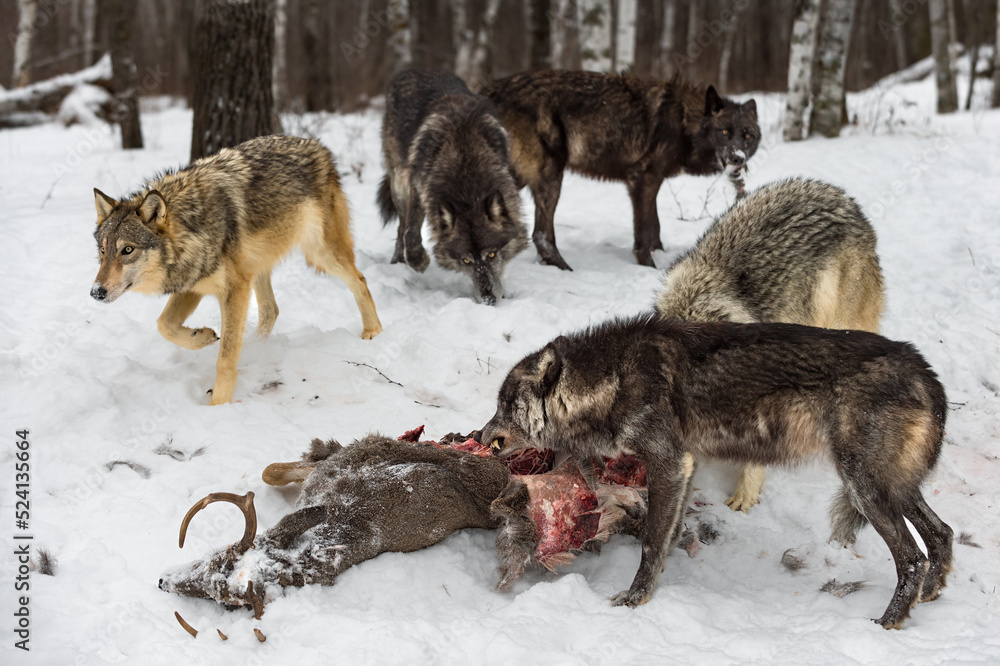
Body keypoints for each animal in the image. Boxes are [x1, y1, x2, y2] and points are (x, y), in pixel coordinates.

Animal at [90, 134, 382, 405]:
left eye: (128, 250)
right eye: (103, 250)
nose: (95, 293)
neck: (192, 226)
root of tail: (316, 144)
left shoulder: (233, 290)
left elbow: (225, 358)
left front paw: (218, 404)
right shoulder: (193, 284)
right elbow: (165, 325)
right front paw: (201, 337)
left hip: (319, 254)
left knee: (360, 280)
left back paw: (373, 331)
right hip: (257, 267)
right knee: (271, 310)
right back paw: (255, 348)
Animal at [377, 67, 528, 305]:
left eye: (491, 254)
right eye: (466, 261)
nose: (488, 299)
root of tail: (417, 68)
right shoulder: (419, 187)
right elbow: (411, 233)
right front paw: (418, 261)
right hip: (399, 183)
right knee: (401, 228)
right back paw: (398, 262)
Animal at [479, 315, 952, 629]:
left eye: (506, 404)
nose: (483, 436)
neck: (613, 379)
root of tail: (927, 372)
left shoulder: (668, 464)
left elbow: (651, 540)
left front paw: (635, 598)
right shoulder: (687, 464)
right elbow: (668, 534)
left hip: (864, 489)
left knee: (912, 558)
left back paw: (887, 623)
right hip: (887, 488)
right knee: (941, 534)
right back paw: (930, 594)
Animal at [482, 70, 760, 270]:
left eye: (748, 135)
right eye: (724, 131)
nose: (737, 158)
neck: (683, 120)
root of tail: (491, 90)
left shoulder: (651, 181)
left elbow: (655, 227)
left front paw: (661, 255)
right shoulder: (643, 179)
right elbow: (644, 231)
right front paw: (649, 266)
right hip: (549, 177)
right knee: (540, 233)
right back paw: (563, 269)